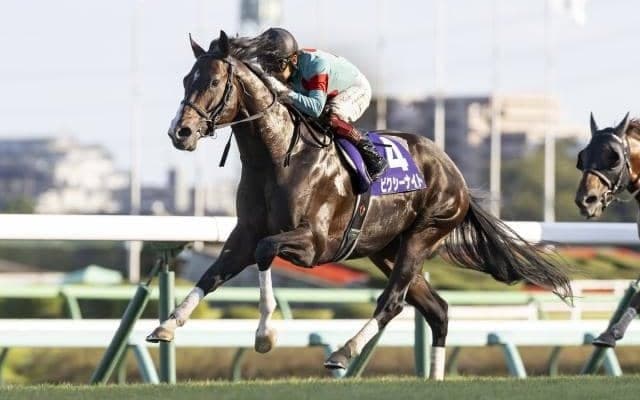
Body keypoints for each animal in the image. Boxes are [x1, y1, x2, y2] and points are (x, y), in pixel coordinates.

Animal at [146, 30, 572, 380]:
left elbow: (265, 252)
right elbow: (213, 274)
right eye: (186, 80)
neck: (278, 156)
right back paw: (432, 378)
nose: (179, 132)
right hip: (386, 248)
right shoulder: (243, 234)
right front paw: (167, 325)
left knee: (393, 301)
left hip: (423, 235)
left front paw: (265, 334)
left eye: (214, 82)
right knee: (436, 308)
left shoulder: (314, 244)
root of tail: (454, 172)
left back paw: (343, 352)